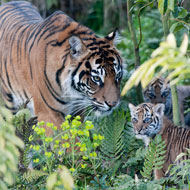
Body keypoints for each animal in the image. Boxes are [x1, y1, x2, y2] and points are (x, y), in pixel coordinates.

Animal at [0, 1, 122, 133]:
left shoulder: (77, 112)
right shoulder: (48, 113)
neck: (74, 92)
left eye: (118, 75)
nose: (113, 104)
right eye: (96, 78)